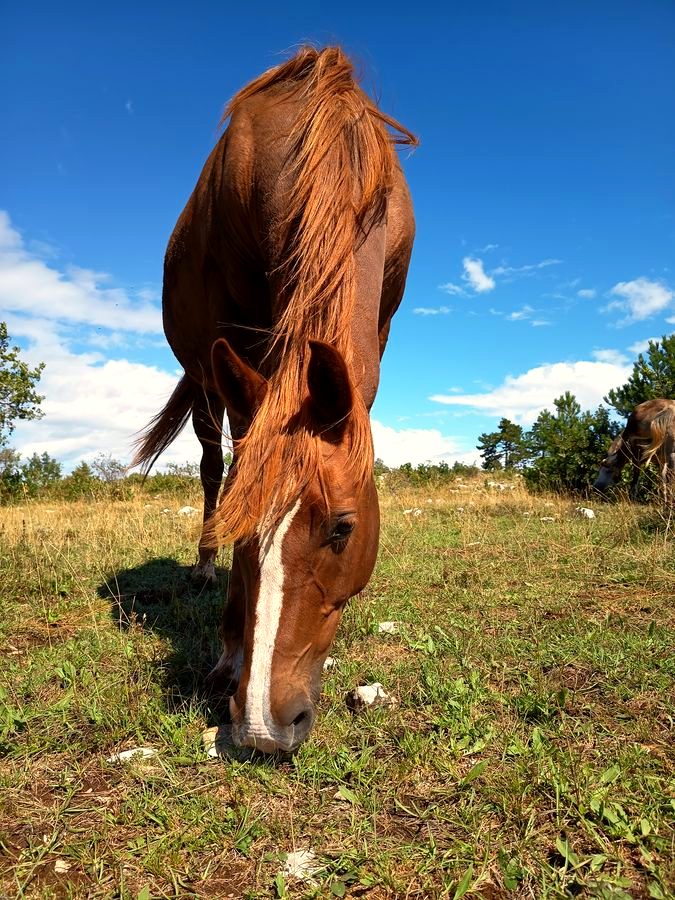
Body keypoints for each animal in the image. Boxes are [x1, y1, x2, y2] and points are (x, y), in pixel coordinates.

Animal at [133, 47, 416, 752]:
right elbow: (235, 469)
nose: (264, 724)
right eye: (244, 531)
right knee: (212, 465)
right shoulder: (234, 344)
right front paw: (231, 649)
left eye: (343, 528)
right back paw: (203, 569)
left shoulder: (382, 322)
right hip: (206, 378)